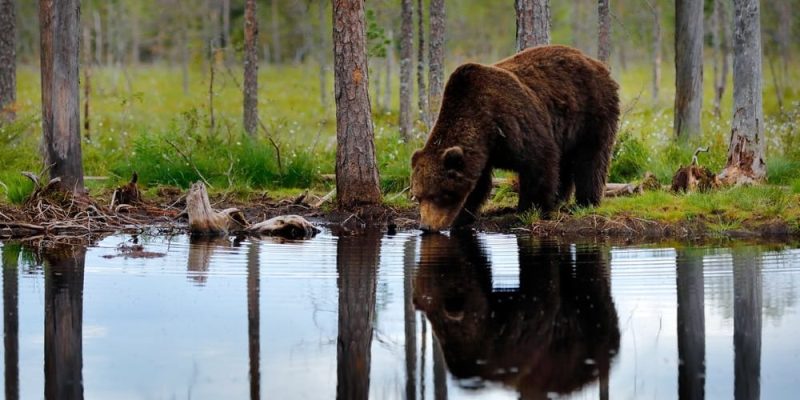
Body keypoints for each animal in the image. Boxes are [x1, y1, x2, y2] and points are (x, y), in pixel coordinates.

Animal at [412, 44, 620, 231]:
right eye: (418, 195)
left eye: (437, 195)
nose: (425, 226)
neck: (484, 127)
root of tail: (598, 64)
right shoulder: (482, 153)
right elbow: (478, 185)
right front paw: (462, 217)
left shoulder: (512, 124)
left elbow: (539, 162)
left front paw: (530, 209)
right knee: (566, 163)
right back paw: (560, 199)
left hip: (592, 111)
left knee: (591, 158)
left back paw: (585, 202)